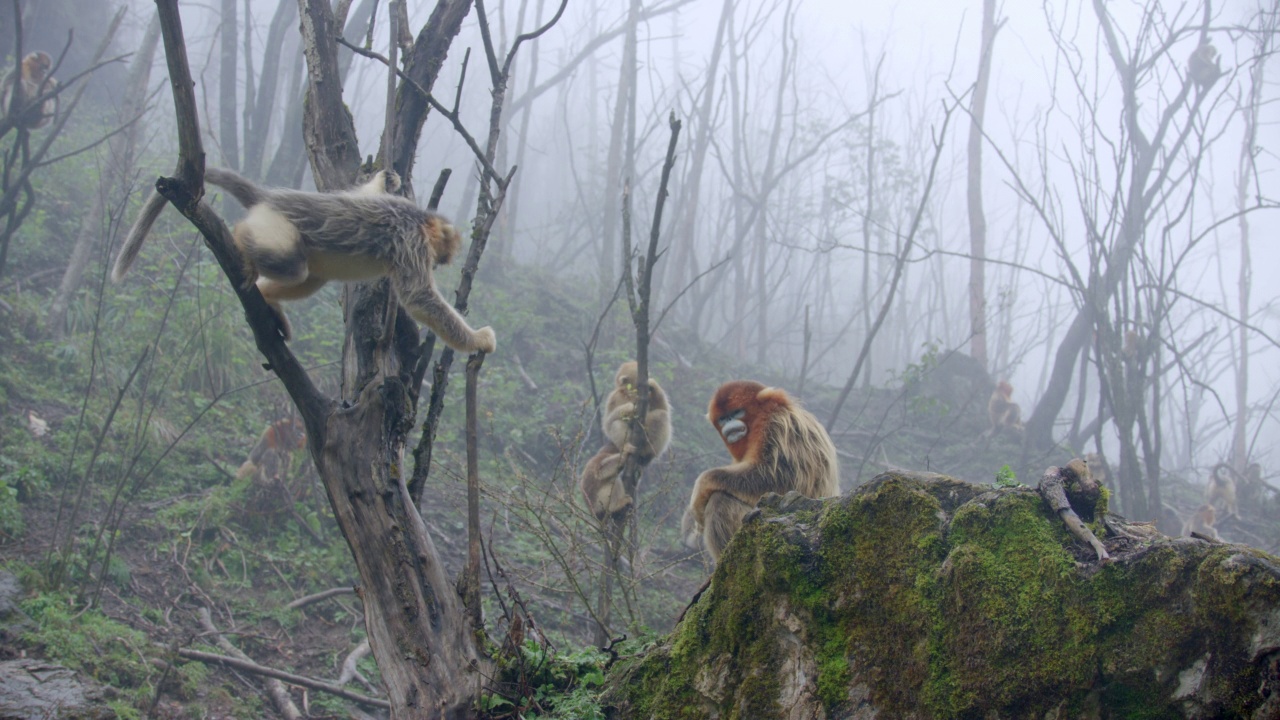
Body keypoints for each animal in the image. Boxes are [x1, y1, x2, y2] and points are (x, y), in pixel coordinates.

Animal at [112, 165, 496, 351]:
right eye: (441, 252)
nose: (442, 261)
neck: (416, 218)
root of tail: (268, 198)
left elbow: (362, 191)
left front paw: (386, 176)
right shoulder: (410, 240)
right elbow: (418, 297)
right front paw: (478, 339)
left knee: (308, 277)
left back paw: (268, 299)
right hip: (273, 226)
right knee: (291, 265)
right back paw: (239, 239)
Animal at [581, 361, 675, 517]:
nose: (648, 376)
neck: (630, 394)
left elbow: (663, 408)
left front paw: (653, 385)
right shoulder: (615, 396)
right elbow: (608, 422)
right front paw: (629, 408)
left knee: (661, 416)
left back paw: (646, 455)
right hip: (601, 501)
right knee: (617, 423)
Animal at [680, 379, 839, 558]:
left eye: (736, 412)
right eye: (722, 419)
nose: (729, 421)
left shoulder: (779, 424)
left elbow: (777, 478)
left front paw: (702, 486)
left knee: (720, 500)